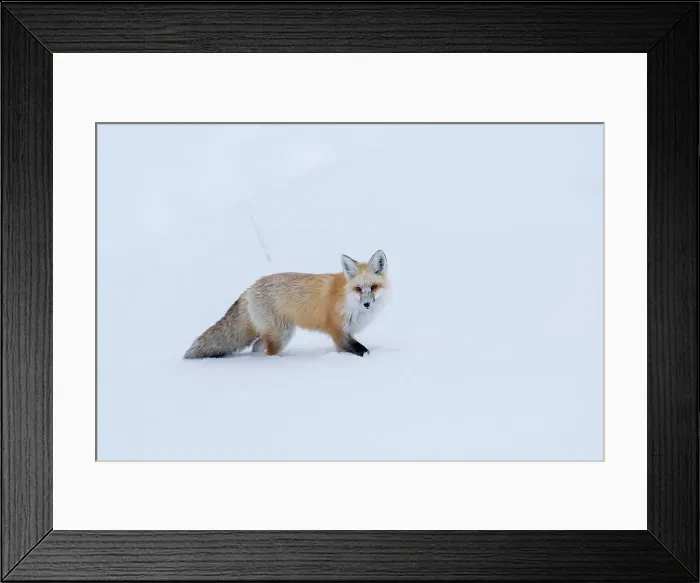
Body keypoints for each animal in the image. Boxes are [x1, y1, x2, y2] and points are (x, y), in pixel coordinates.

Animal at [183, 249, 389, 359]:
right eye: (358, 289)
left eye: (373, 287)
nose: (367, 304)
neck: (347, 299)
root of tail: (250, 288)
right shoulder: (338, 331)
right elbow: (361, 350)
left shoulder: (344, 335)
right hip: (282, 334)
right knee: (268, 350)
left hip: (277, 333)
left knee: (257, 346)